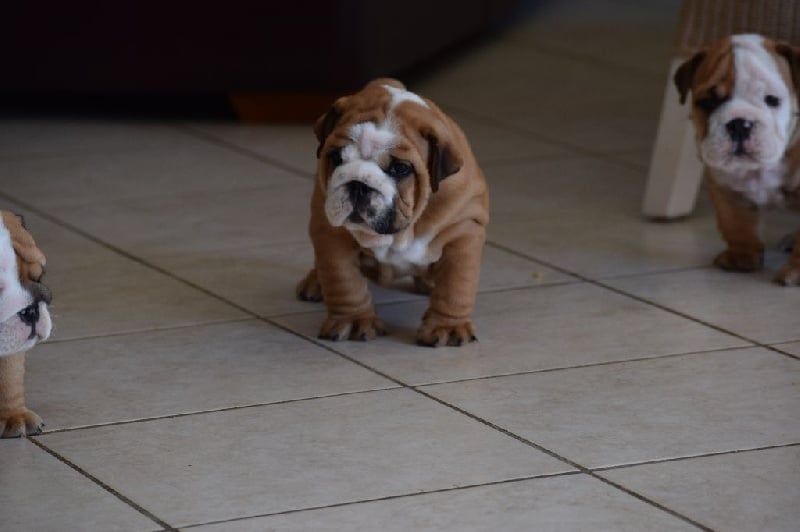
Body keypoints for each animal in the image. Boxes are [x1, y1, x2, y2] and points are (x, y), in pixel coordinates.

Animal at [296, 78, 489, 346]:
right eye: (336, 157)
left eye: (400, 168)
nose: (358, 184)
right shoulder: (331, 236)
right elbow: (344, 281)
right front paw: (352, 321)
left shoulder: (464, 232)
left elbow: (456, 285)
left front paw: (447, 327)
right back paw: (314, 283)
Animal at [674, 34, 800, 285]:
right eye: (708, 102)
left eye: (772, 100)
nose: (740, 123)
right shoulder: (724, 186)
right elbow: (736, 223)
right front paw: (741, 258)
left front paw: (794, 272)